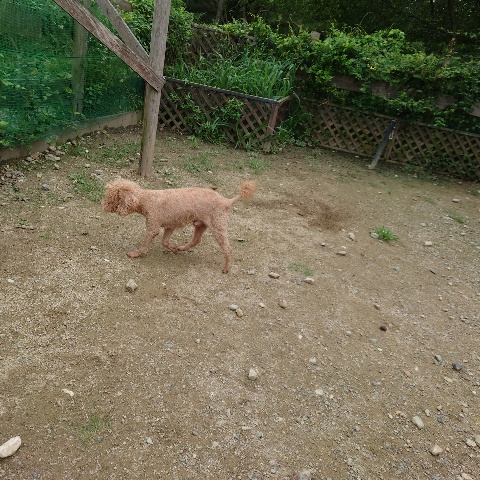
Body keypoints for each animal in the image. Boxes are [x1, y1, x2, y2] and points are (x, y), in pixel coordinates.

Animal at [101, 178, 256, 273]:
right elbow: (164, 242)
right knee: (196, 240)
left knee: (228, 249)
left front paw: (136, 254)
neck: (145, 199)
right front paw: (174, 249)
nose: (101, 204)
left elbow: (146, 245)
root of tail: (227, 201)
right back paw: (182, 248)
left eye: (111, 197)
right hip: (200, 225)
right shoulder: (170, 226)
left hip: (218, 226)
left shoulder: (153, 226)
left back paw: (227, 267)